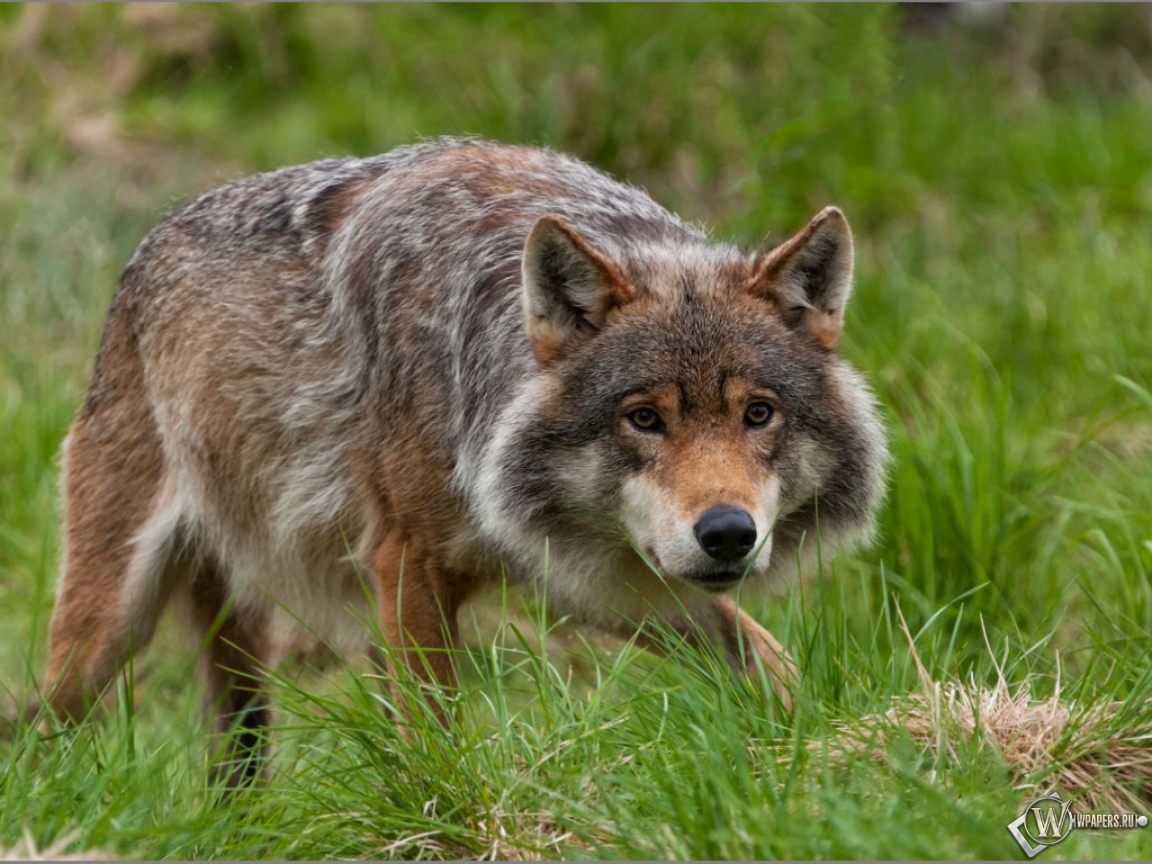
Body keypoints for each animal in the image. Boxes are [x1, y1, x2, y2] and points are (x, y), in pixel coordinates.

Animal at [40, 137, 884, 783]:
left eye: (758, 414)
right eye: (644, 419)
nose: (728, 533)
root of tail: (148, 247)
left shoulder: (594, 577)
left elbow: (774, 663)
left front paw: (828, 753)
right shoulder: (408, 561)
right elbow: (434, 741)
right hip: (110, 622)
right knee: (51, 729)